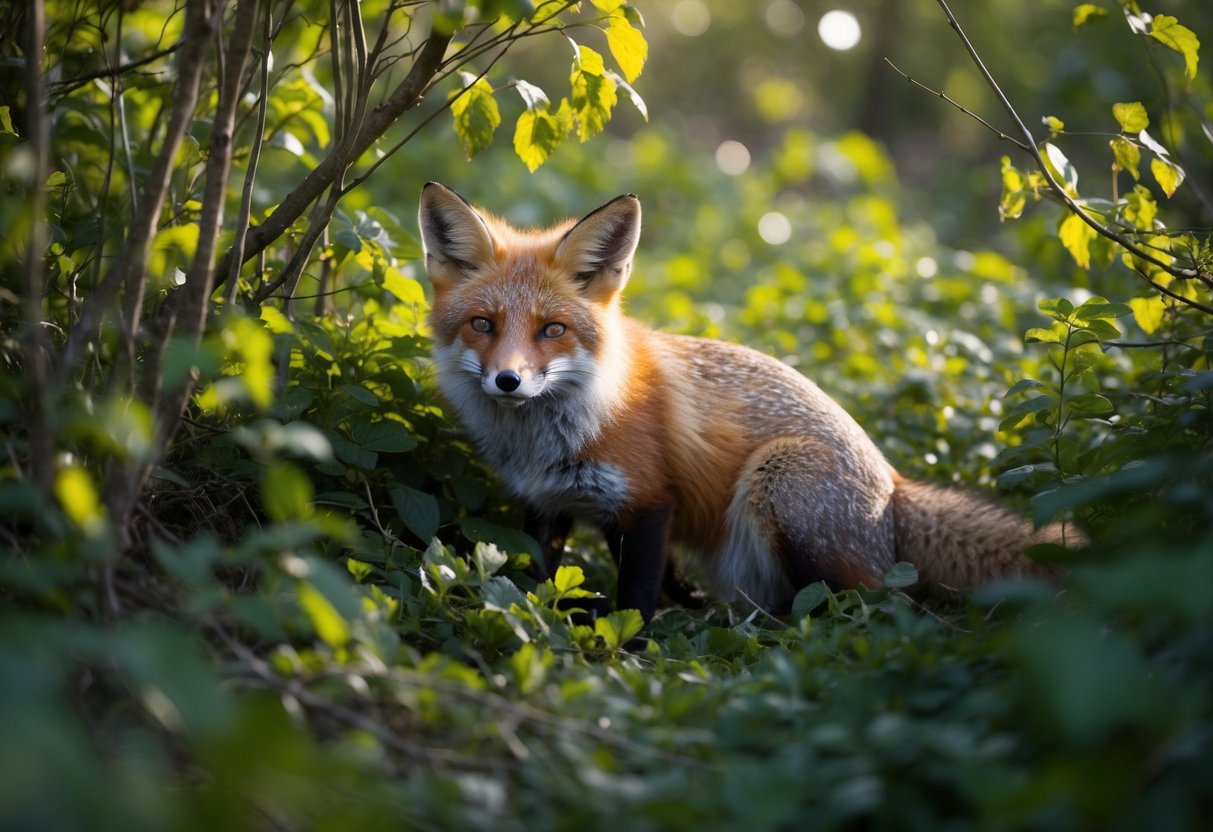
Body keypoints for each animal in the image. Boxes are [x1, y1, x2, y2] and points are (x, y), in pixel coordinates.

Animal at [418, 181, 1081, 622]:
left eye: (552, 330)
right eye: (483, 324)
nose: (508, 381)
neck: (558, 430)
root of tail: (894, 483)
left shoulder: (650, 501)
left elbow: (637, 600)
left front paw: (624, 652)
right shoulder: (551, 505)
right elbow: (542, 580)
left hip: (780, 482)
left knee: (879, 604)